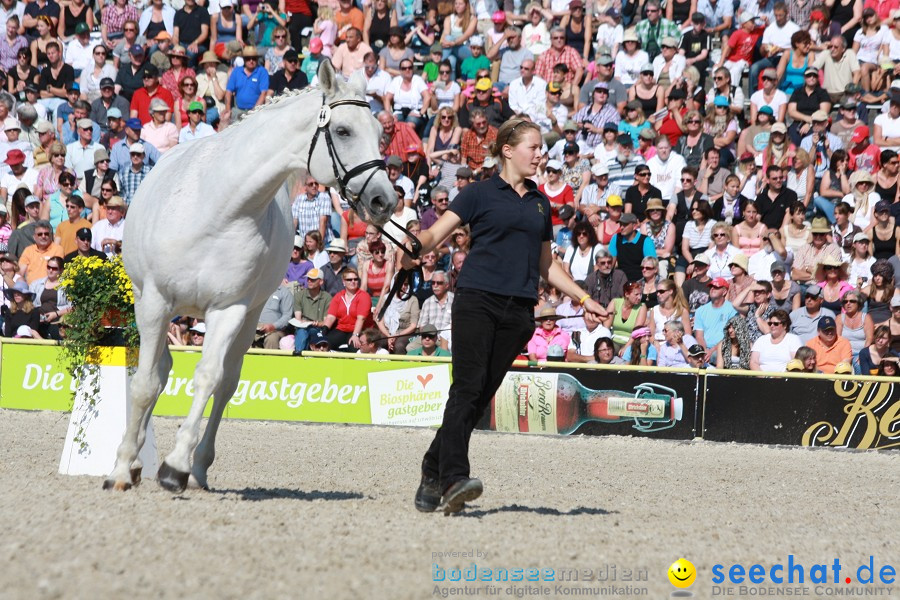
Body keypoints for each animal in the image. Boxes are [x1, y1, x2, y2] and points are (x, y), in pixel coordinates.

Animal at [103, 59, 396, 492]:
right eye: (344, 131)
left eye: (379, 132)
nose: (385, 200)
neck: (218, 208)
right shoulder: (155, 302)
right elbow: (143, 384)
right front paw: (122, 468)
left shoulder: (230, 309)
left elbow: (209, 379)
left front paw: (176, 466)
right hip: (153, 305)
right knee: (158, 372)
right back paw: (136, 461)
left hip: (249, 315)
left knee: (225, 384)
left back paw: (197, 469)